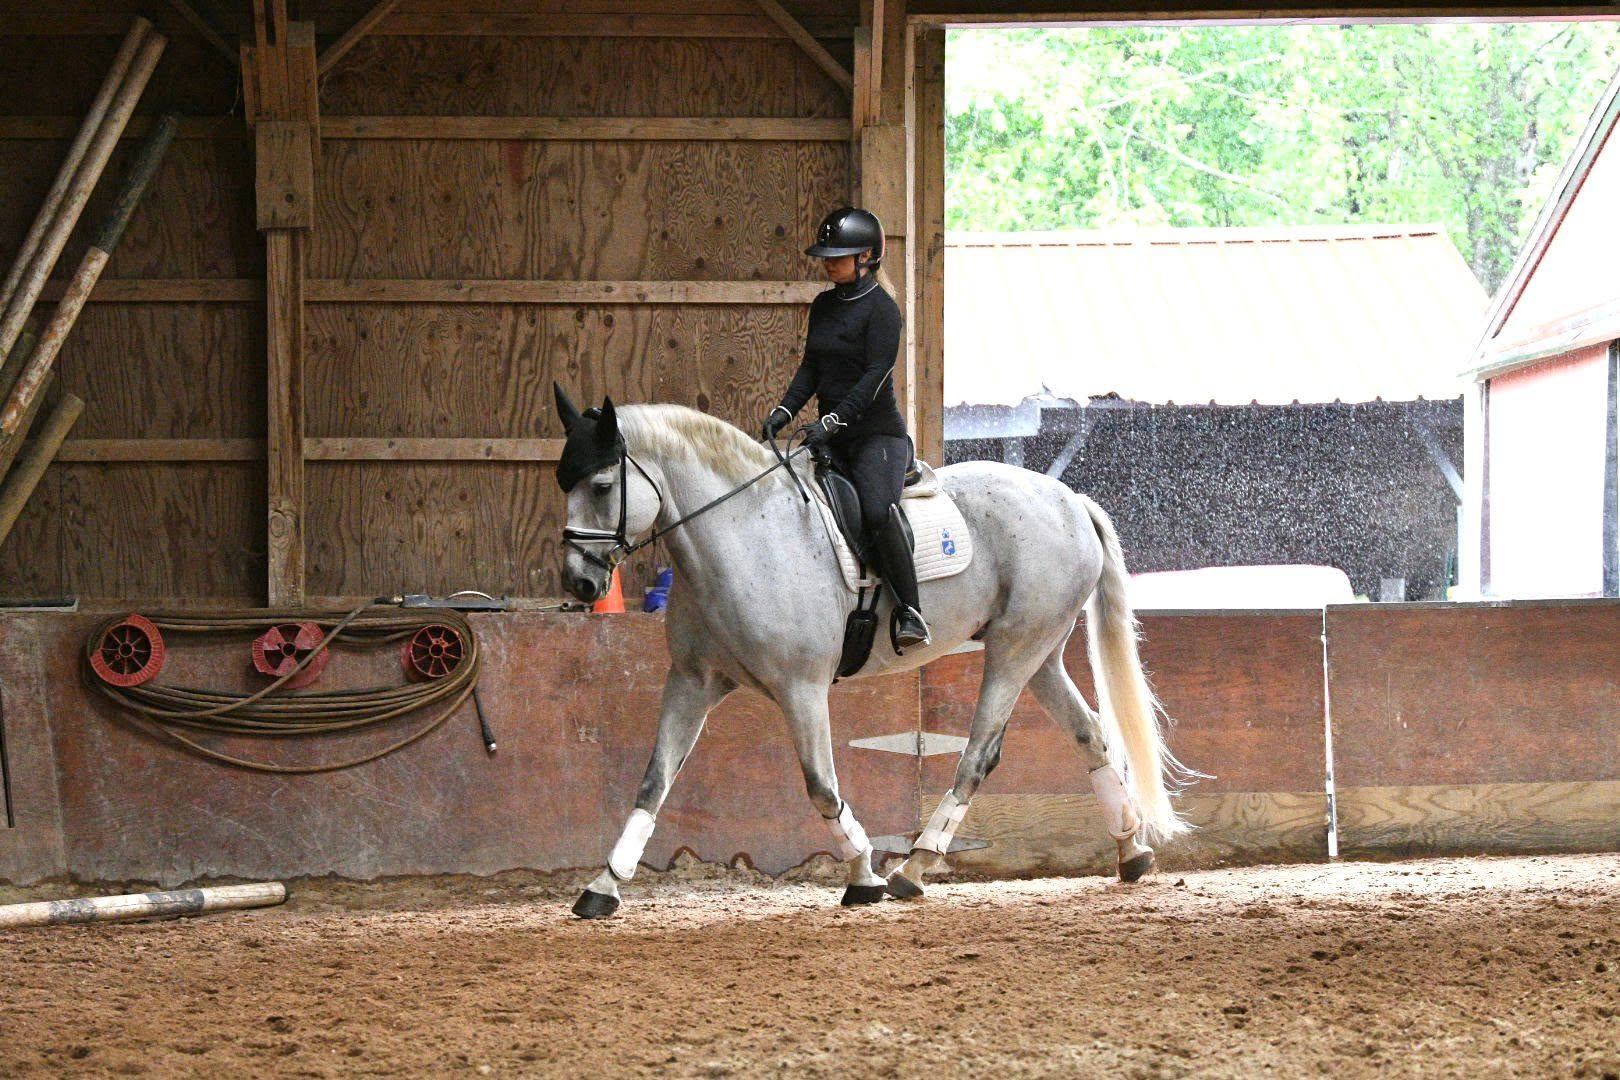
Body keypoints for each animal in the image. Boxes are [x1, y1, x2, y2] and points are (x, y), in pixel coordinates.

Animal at [552, 386, 1194, 919]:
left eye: (602, 486)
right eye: (565, 484)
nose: (580, 584)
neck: (743, 534)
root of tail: (1071, 499)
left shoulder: (802, 688)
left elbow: (821, 785)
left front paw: (864, 876)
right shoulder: (691, 681)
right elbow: (653, 782)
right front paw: (603, 887)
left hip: (1015, 651)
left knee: (978, 756)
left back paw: (914, 866)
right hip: (1041, 654)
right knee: (1090, 735)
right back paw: (1131, 851)